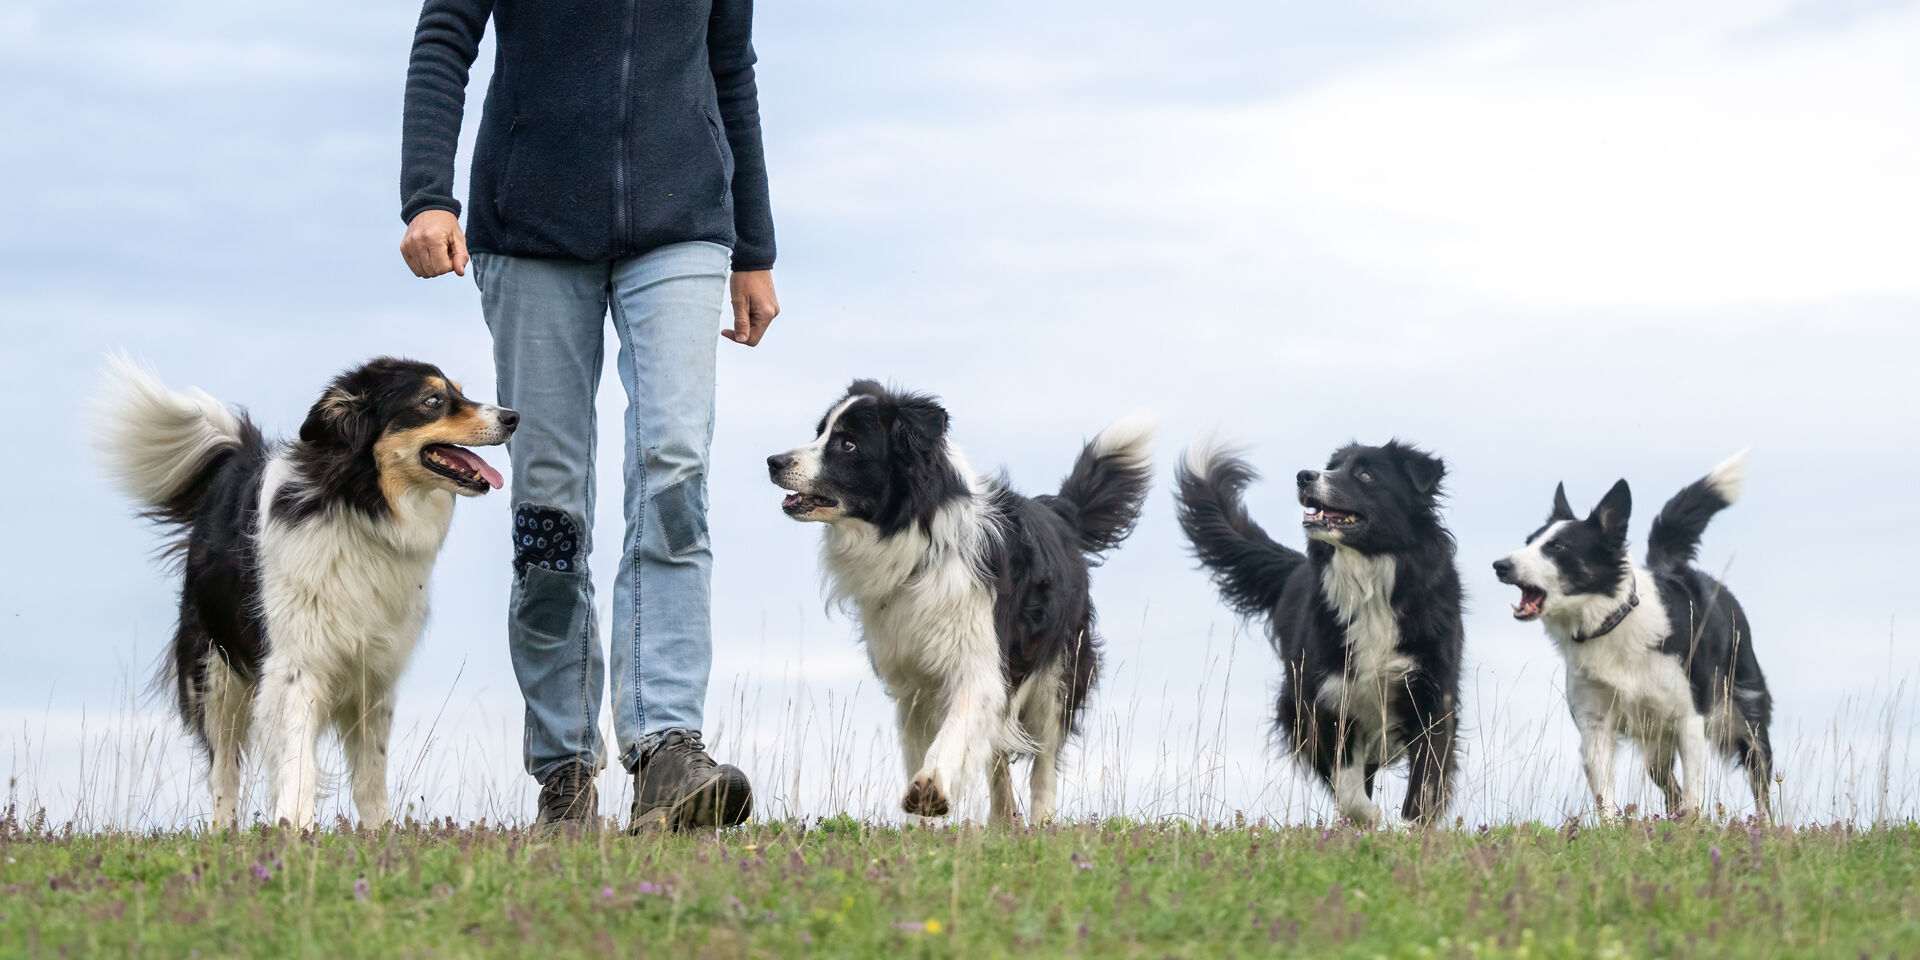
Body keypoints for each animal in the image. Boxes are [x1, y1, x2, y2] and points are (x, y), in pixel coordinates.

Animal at [97, 357, 518, 829]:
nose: (513, 417)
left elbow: (371, 769)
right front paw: (294, 827)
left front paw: (381, 831)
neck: (358, 504)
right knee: (223, 766)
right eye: (432, 401)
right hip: (215, 671)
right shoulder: (295, 661)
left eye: (460, 392)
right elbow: (296, 754)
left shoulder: (375, 672)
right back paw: (223, 832)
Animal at [764, 378, 1152, 821]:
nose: (773, 462)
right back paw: (1003, 818)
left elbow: (959, 726)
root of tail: (1059, 512)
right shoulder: (912, 680)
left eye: (848, 444)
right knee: (998, 753)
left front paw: (931, 788)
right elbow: (924, 744)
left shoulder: (980, 660)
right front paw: (922, 820)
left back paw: (1041, 822)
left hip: (1057, 676)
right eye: (820, 433)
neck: (916, 538)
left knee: (1045, 760)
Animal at [1175, 439, 1459, 825]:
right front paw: (1370, 819)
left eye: (1365, 475)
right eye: (1334, 466)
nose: (1304, 476)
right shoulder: (1326, 699)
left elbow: (1427, 778)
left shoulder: (1433, 693)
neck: (1370, 579)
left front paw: (1411, 826)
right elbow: (1348, 786)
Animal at [1489, 453, 1774, 821]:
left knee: (1761, 782)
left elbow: (1695, 792)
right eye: (1528, 542)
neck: (1611, 622)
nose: (1500, 565)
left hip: (1745, 718)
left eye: (1557, 547)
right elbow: (1605, 794)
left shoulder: (1689, 719)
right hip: (1655, 747)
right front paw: (1612, 829)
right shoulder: (1595, 723)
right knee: (1669, 788)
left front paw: (1693, 827)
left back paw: (1767, 826)